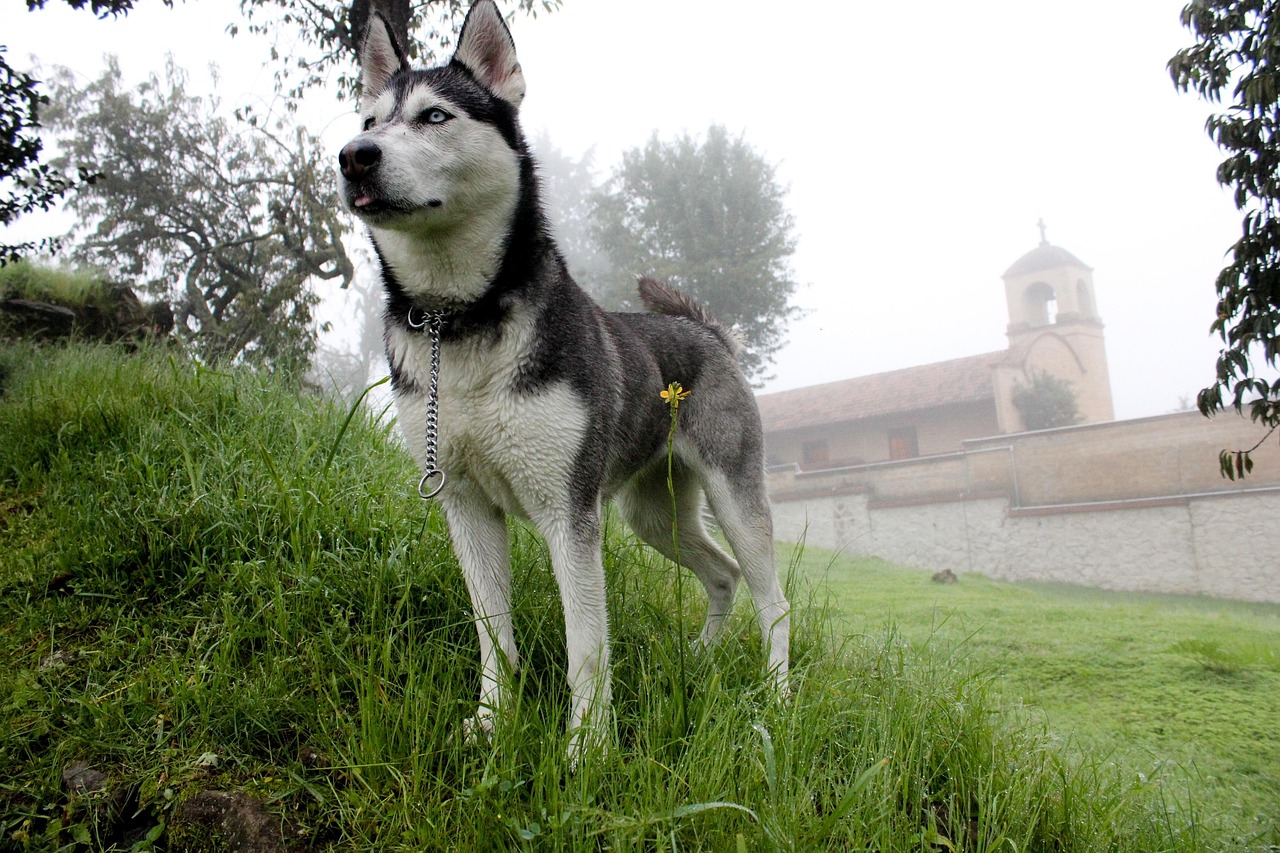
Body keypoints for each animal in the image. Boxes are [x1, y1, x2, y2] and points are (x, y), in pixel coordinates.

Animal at [335, 0, 783, 758]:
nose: (353, 156)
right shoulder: (465, 505)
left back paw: (779, 696)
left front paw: (587, 750)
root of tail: (710, 333)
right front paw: (493, 721)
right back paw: (701, 657)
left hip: (732, 496)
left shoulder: (568, 515)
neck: (460, 320)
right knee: (720, 575)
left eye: (434, 116)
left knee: (771, 599)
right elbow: (493, 634)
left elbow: (587, 648)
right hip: (651, 514)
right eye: (368, 121)